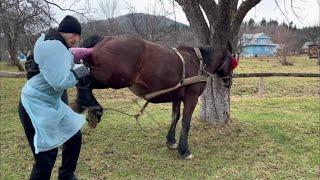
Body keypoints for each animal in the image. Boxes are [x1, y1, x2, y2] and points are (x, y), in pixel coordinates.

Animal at [74, 34, 236, 159]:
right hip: (113, 79)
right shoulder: (192, 97)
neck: (199, 61)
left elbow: (175, 117)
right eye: (233, 62)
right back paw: (93, 108)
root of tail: (103, 39)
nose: (229, 82)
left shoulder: (176, 97)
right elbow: (186, 121)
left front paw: (171, 141)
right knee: (84, 83)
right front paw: (184, 150)